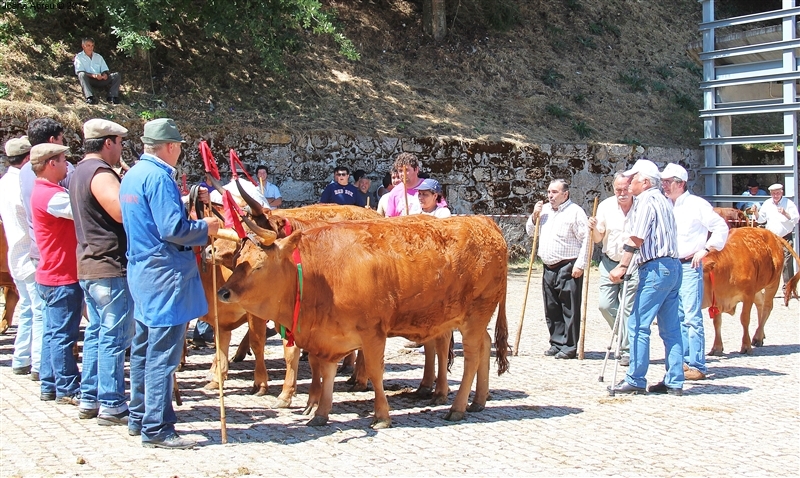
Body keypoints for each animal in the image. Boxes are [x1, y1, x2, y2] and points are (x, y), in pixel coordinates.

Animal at [216, 215, 510, 428]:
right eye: (238, 260)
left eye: (258, 266)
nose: (223, 293)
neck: (323, 273)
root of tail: (484, 221)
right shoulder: (329, 337)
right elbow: (326, 372)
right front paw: (320, 414)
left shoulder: (372, 332)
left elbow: (375, 372)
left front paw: (381, 416)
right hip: (472, 318)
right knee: (485, 344)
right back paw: (478, 400)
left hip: (476, 313)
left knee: (472, 356)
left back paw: (457, 407)